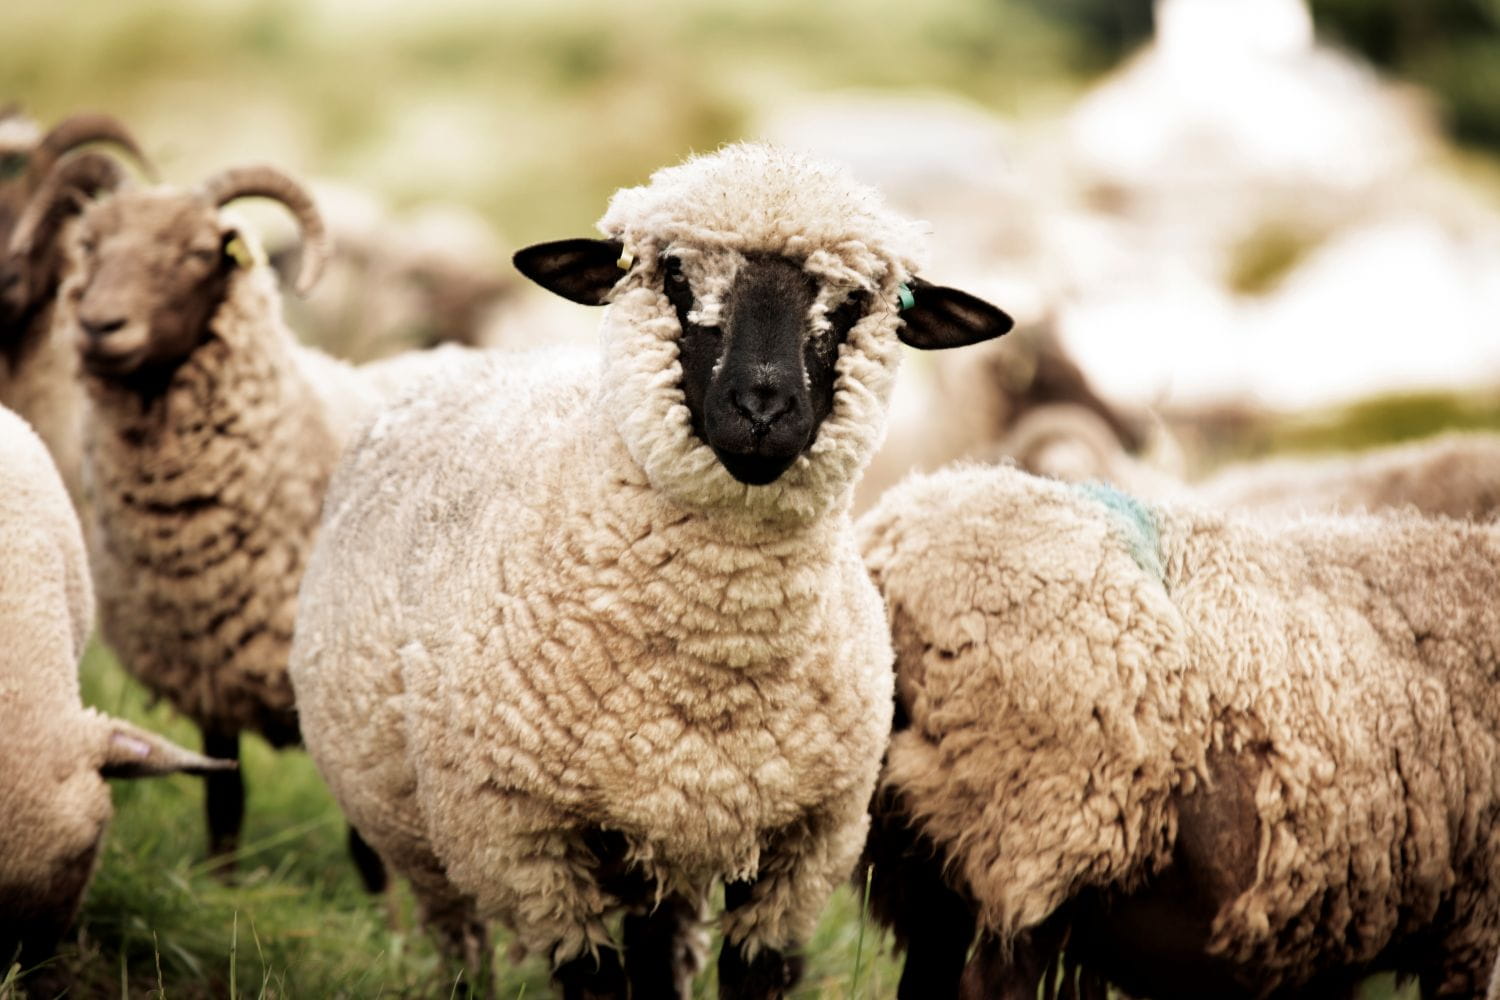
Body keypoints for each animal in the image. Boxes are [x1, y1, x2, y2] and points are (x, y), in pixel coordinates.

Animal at [40, 161, 460, 883]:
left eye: (196, 253)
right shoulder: (209, 673)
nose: (99, 327)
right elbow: (224, 796)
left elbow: (365, 842)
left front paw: (383, 915)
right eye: (89, 246)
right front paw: (219, 888)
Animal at [287, 141, 1014, 998]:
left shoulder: (805, 847)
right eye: (673, 275)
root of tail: (460, 353)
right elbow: (593, 981)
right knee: (459, 939)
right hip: (427, 836)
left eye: (858, 300)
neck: (715, 663)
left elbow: (753, 976)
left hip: (663, 847)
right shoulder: (531, 847)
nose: (762, 408)